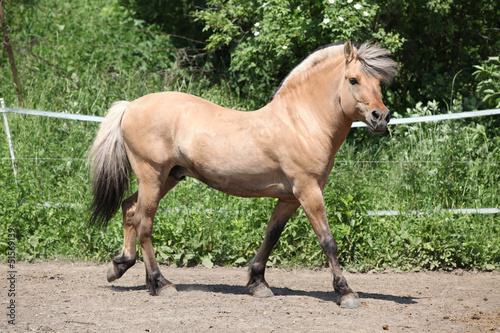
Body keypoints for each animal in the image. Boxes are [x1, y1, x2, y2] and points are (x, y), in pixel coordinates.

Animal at [88, 40, 396, 308]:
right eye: (353, 80)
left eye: (379, 83)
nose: (381, 117)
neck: (302, 121)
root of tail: (130, 106)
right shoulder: (308, 191)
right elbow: (328, 241)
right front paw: (346, 292)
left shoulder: (290, 198)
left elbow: (271, 235)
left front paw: (258, 283)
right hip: (152, 175)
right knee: (144, 222)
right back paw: (160, 283)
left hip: (168, 177)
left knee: (130, 209)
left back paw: (120, 266)